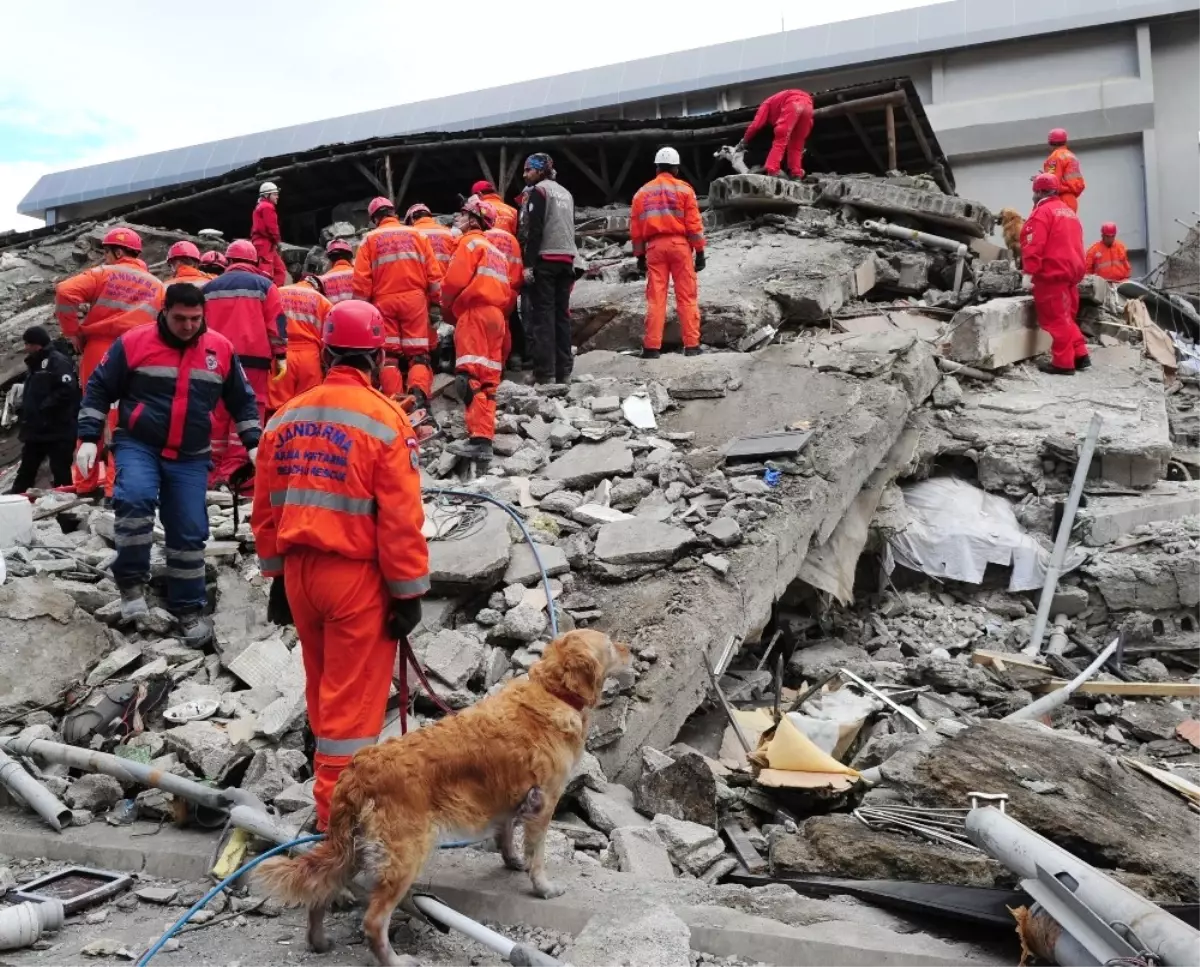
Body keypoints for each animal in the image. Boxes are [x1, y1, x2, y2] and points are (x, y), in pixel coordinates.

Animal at [252, 628, 628, 967]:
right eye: (610, 644)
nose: (630, 650)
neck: (553, 691)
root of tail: (359, 768)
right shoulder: (544, 802)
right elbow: (536, 855)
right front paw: (543, 887)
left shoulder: (508, 797)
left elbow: (506, 832)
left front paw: (511, 860)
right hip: (405, 854)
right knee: (373, 921)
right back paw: (395, 961)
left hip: (355, 848)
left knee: (320, 893)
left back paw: (318, 942)